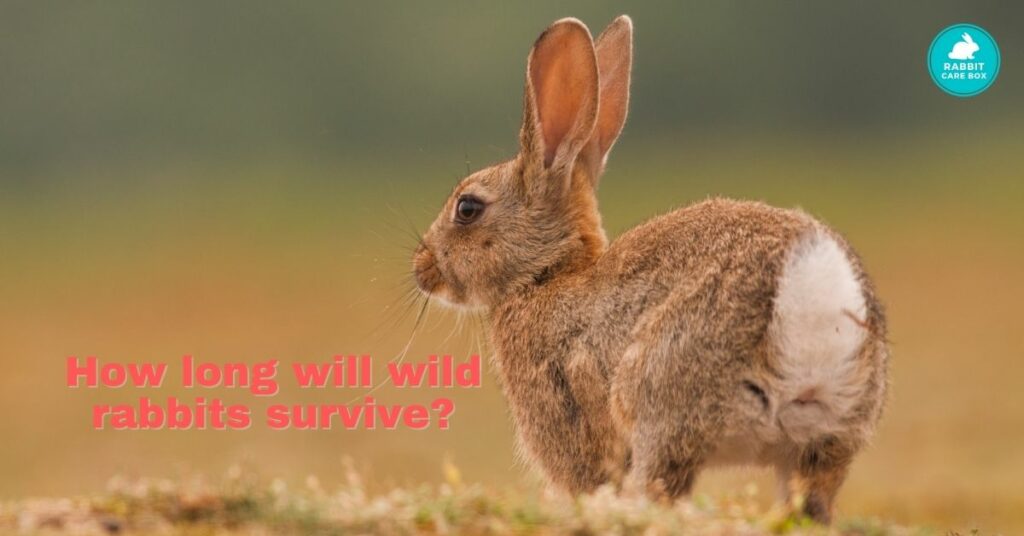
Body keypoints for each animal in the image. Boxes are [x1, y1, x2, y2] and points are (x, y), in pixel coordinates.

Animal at [412, 16, 888, 525]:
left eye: (467, 208)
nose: (422, 268)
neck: (547, 274)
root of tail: (809, 285)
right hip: (829, 435)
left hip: (662, 402)